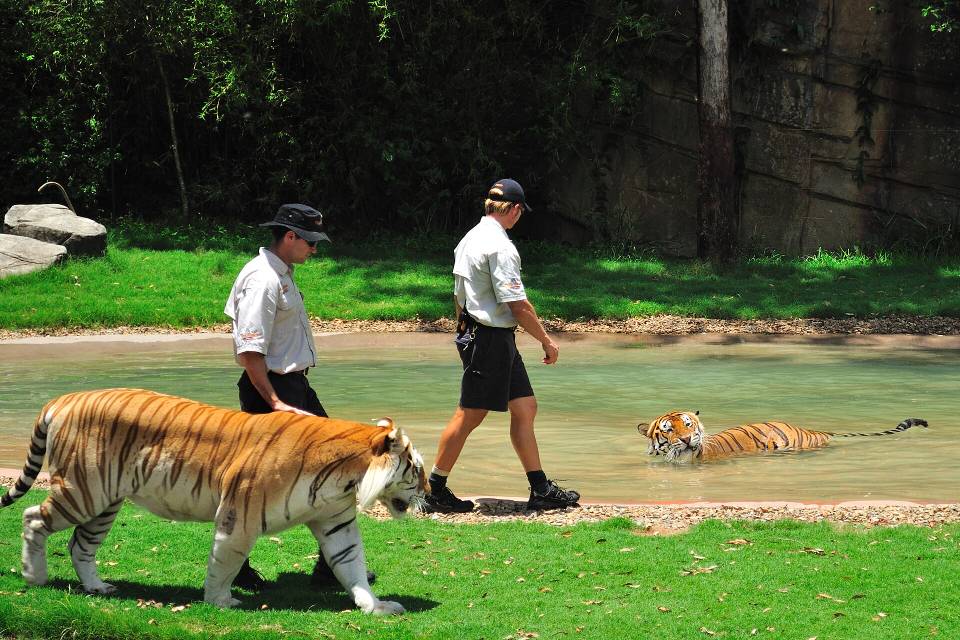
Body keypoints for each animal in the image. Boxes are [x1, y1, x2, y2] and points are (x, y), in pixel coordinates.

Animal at [0, 388, 426, 614]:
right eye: (417, 470)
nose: (431, 492)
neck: (345, 479)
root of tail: (64, 398)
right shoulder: (240, 514)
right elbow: (226, 560)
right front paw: (220, 600)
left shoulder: (336, 521)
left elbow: (351, 564)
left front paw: (375, 606)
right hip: (82, 490)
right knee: (33, 517)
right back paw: (34, 576)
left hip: (104, 502)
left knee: (80, 545)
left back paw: (98, 587)